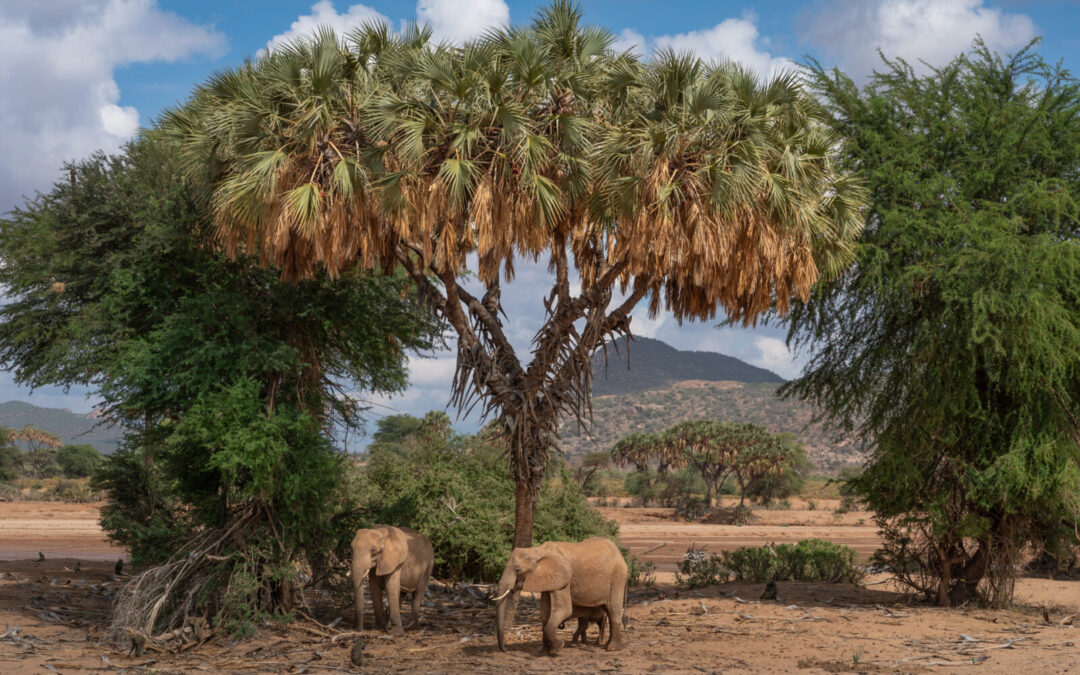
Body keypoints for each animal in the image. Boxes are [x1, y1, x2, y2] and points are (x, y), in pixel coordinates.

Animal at [494, 537, 630, 652]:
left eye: (518, 570)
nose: (505, 650)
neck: (537, 551)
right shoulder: (550, 579)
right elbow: (545, 612)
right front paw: (545, 652)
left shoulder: (563, 579)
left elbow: (564, 609)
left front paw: (559, 646)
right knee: (607, 610)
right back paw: (606, 644)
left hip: (617, 578)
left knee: (613, 610)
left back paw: (612, 648)